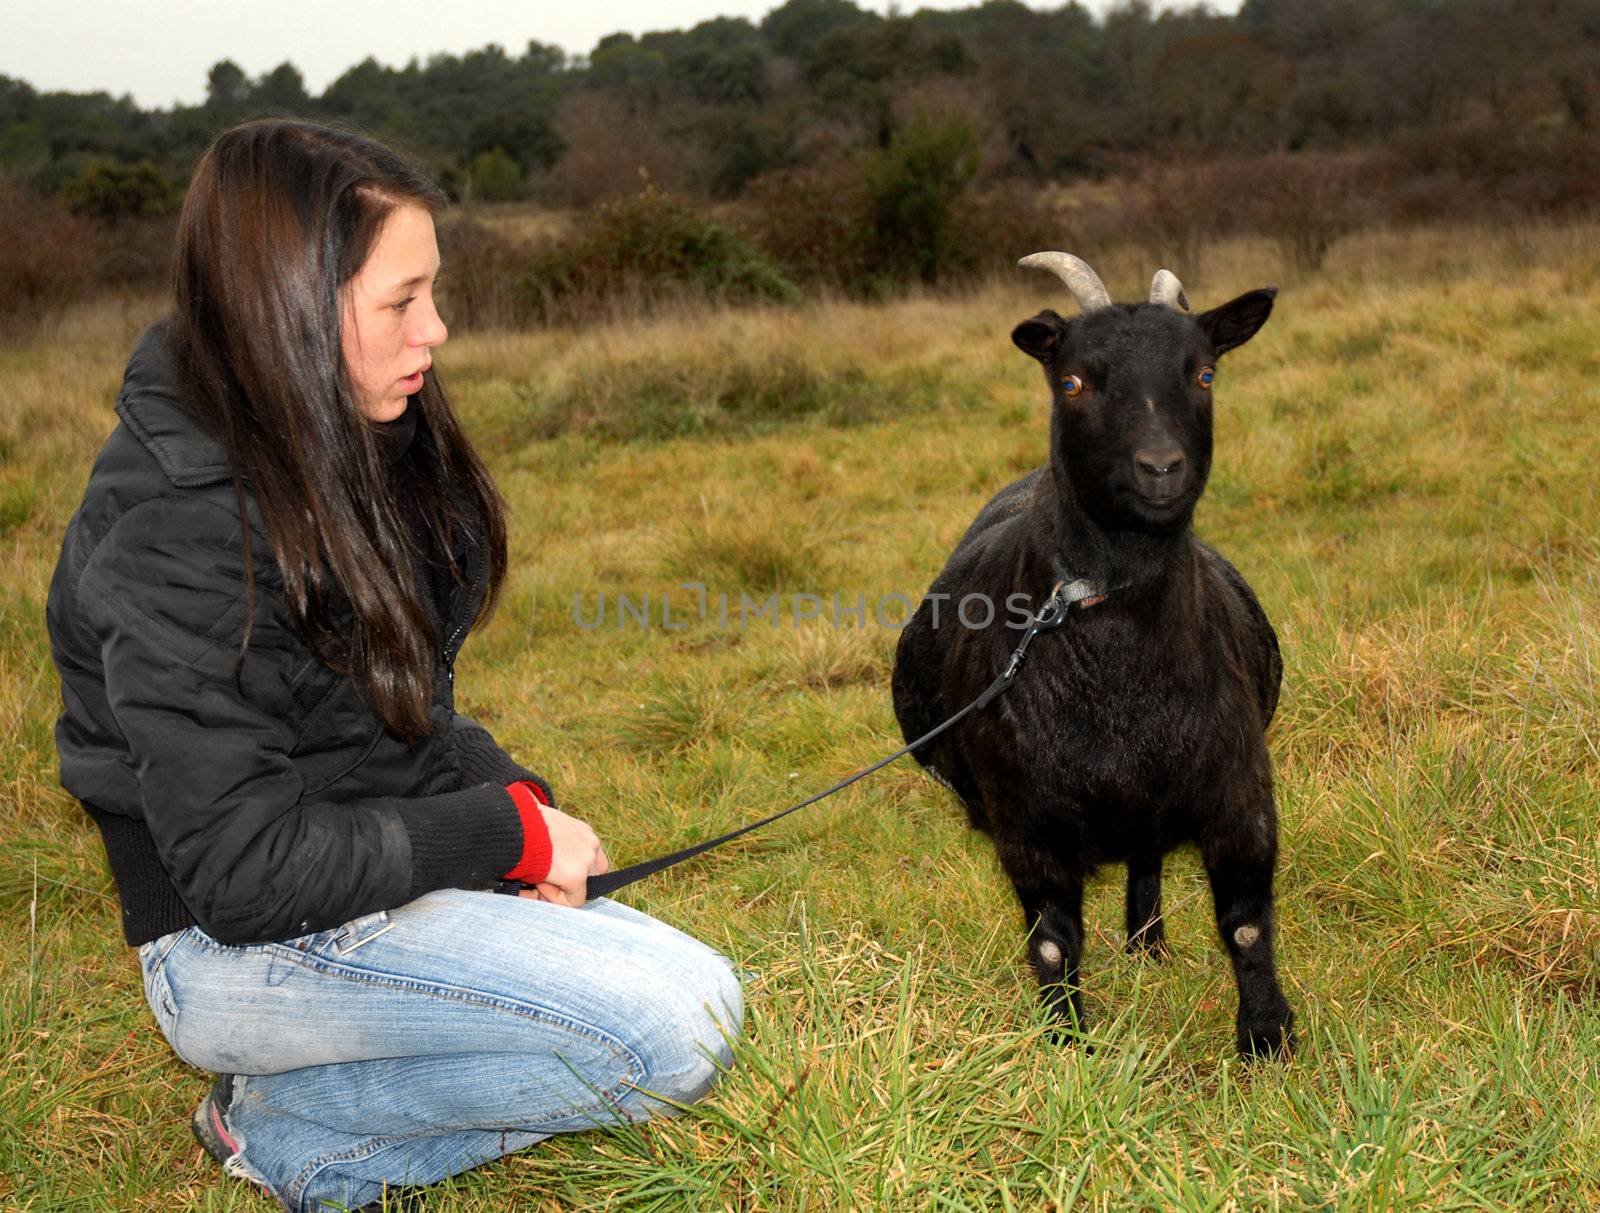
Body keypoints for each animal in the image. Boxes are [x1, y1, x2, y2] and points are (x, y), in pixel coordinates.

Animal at [896, 251, 1292, 1062]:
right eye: (1073, 381)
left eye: (1206, 373)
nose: (1160, 467)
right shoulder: (1027, 821)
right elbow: (1052, 941)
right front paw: (1066, 1041)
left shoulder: (1237, 789)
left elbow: (1244, 923)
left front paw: (1266, 1036)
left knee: (1147, 857)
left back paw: (1147, 944)